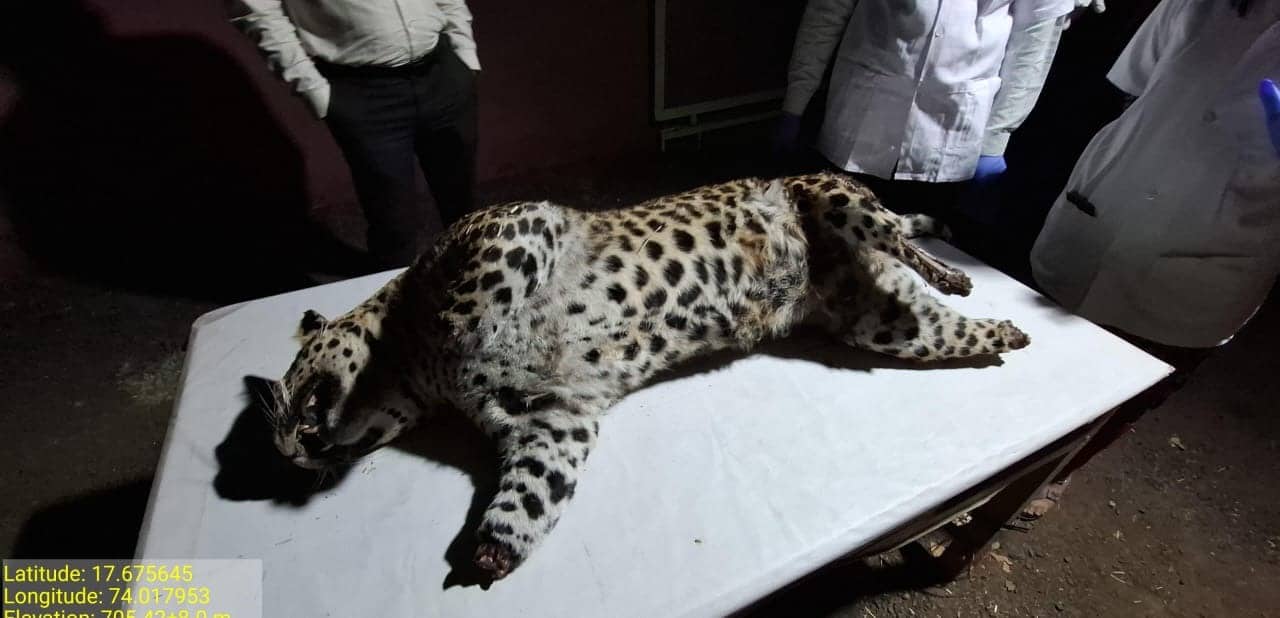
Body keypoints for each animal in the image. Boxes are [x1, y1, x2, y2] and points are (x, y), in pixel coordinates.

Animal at [261, 172, 1030, 581]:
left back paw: (955, 272)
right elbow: (536, 485)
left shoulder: (514, 228)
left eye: (295, 397)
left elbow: (461, 303)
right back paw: (1008, 332)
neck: (422, 380)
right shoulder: (554, 415)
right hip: (886, 324)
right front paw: (494, 548)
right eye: (282, 450)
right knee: (947, 326)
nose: (295, 455)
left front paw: (459, 327)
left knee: (901, 232)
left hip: (837, 197)